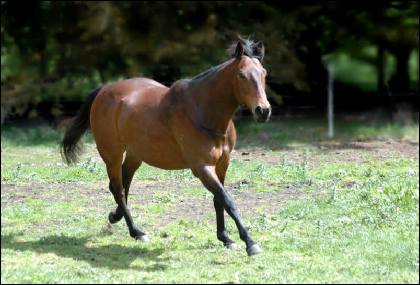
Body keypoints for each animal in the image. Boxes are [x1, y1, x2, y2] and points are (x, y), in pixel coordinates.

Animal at [61, 38, 272, 255]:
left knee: (122, 187)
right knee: (118, 189)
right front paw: (250, 243)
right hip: (112, 154)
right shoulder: (202, 168)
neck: (202, 113)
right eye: (241, 75)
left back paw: (117, 217)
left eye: (264, 73)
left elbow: (218, 200)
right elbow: (227, 200)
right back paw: (136, 231)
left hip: (135, 155)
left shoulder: (222, 164)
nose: (263, 111)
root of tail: (104, 90)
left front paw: (225, 238)